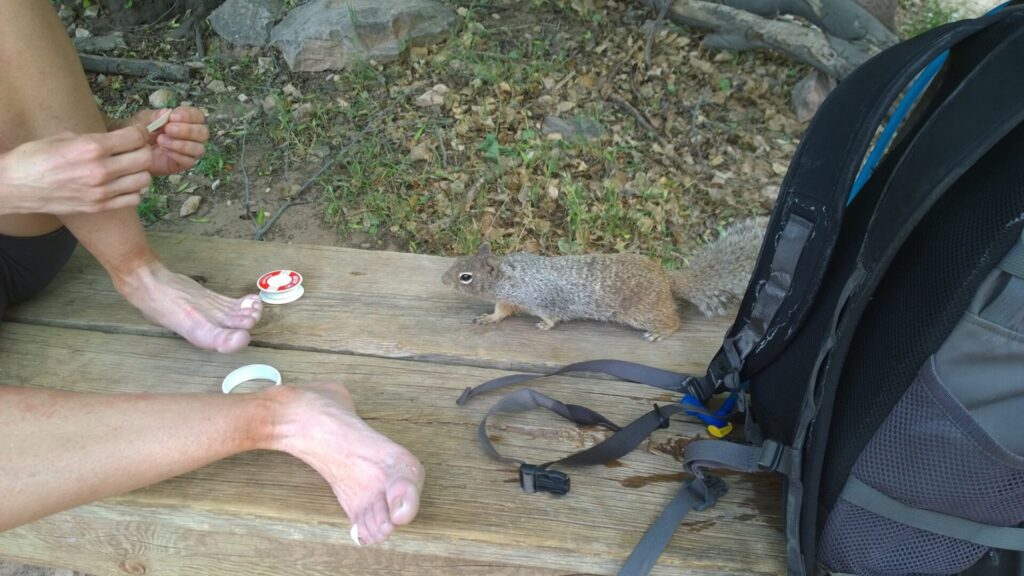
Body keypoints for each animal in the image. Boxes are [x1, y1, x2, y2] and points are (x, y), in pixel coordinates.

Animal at [440, 216, 770, 340]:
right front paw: (488, 318)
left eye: (465, 276)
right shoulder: (508, 301)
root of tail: (666, 278)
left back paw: (661, 333)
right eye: (458, 260)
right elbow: (501, 312)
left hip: (645, 312)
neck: (510, 276)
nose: (443, 280)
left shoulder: (539, 299)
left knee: (673, 321)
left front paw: (544, 326)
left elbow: (550, 315)